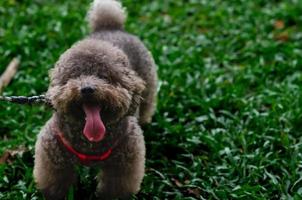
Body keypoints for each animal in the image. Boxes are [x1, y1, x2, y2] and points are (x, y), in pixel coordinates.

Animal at [32, 0, 157, 198]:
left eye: (105, 76)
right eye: (75, 75)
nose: (87, 89)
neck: (90, 144)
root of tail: (111, 26)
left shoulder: (123, 164)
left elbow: (114, 188)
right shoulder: (53, 156)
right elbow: (57, 183)